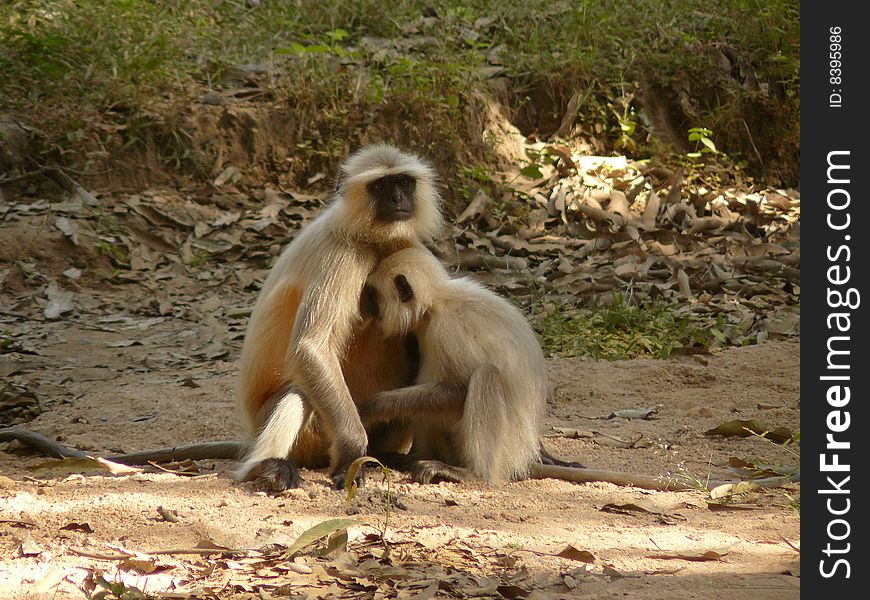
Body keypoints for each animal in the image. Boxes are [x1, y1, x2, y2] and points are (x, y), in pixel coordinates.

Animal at [235, 145, 442, 492]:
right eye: (381, 186)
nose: (398, 199)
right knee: (300, 391)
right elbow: (311, 347)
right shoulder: (341, 254)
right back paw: (266, 467)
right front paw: (352, 452)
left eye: (404, 183)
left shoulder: (405, 243)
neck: (369, 239)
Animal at [362, 246, 584, 486]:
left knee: (486, 374)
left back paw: (473, 474)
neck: (436, 304)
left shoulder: (447, 329)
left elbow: (460, 390)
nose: (368, 310)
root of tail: (523, 456)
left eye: (373, 296)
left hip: (506, 450)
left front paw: (375, 407)